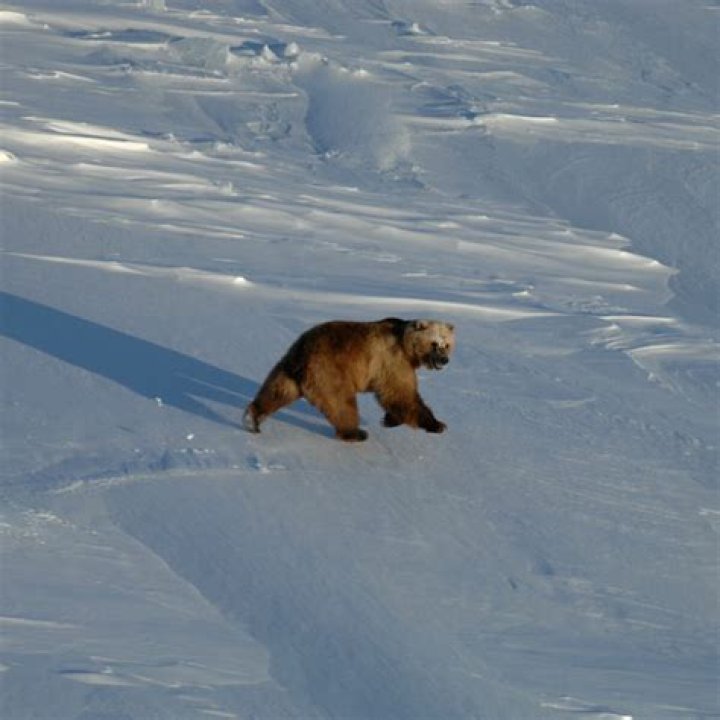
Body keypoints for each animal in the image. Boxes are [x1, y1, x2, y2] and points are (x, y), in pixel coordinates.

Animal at [243, 317, 455, 441]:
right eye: (435, 343)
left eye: (447, 345)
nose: (444, 360)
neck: (407, 346)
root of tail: (303, 352)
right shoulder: (393, 360)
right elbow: (402, 393)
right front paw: (437, 424)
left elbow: (394, 396)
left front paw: (390, 419)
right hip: (330, 371)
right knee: (341, 403)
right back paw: (355, 432)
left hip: (288, 369)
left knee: (277, 391)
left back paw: (253, 418)